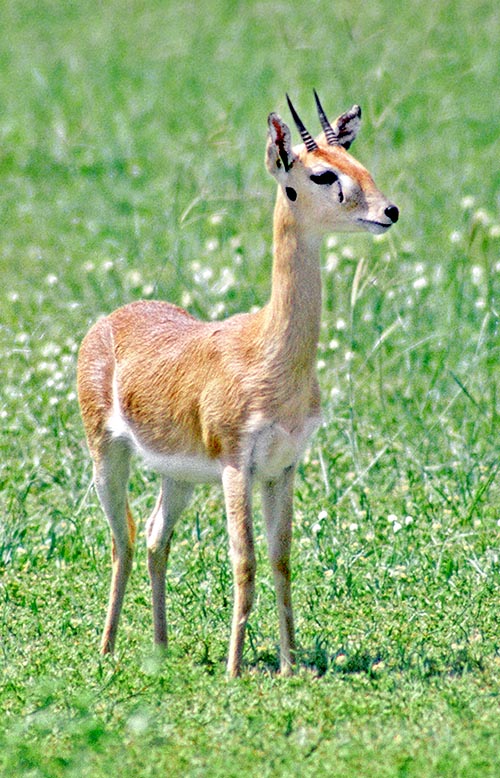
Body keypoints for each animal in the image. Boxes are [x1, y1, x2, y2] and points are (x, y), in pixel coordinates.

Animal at [77, 91, 398, 676]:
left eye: (356, 161)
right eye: (321, 173)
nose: (388, 211)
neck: (270, 353)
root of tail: (111, 318)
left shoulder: (283, 467)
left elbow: (280, 558)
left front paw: (289, 667)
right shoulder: (235, 466)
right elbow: (244, 560)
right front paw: (234, 670)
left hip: (177, 476)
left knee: (155, 539)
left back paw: (160, 649)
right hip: (106, 457)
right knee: (123, 540)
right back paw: (107, 652)